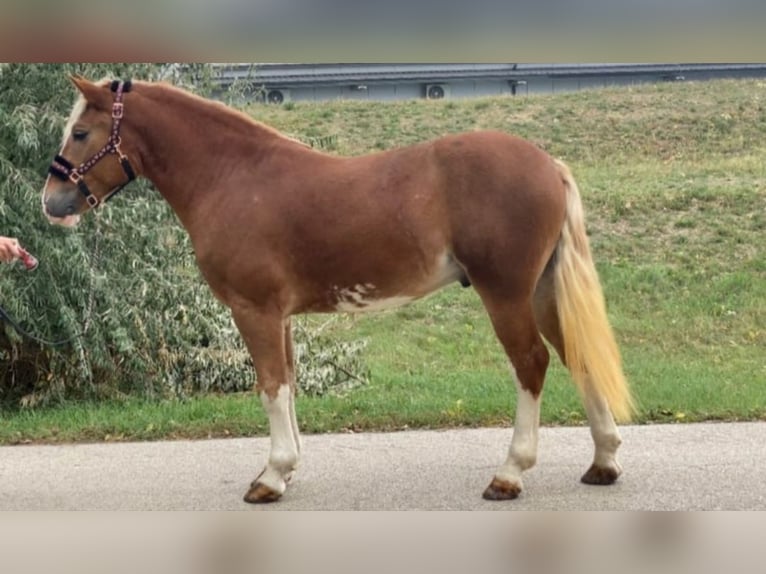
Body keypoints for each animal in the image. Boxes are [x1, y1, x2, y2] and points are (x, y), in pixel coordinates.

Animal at [40, 76, 636, 504]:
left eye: (81, 132)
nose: (51, 201)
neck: (234, 176)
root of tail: (548, 163)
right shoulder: (278, 315)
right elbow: (288, 385)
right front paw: (285, 468)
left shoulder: (253, 310)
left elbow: (270, 387)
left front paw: (272, 477)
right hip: (541, 291)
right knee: (576, 355)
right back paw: (603, 462)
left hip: (506, 293)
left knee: (531, 363)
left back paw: (510, 473)